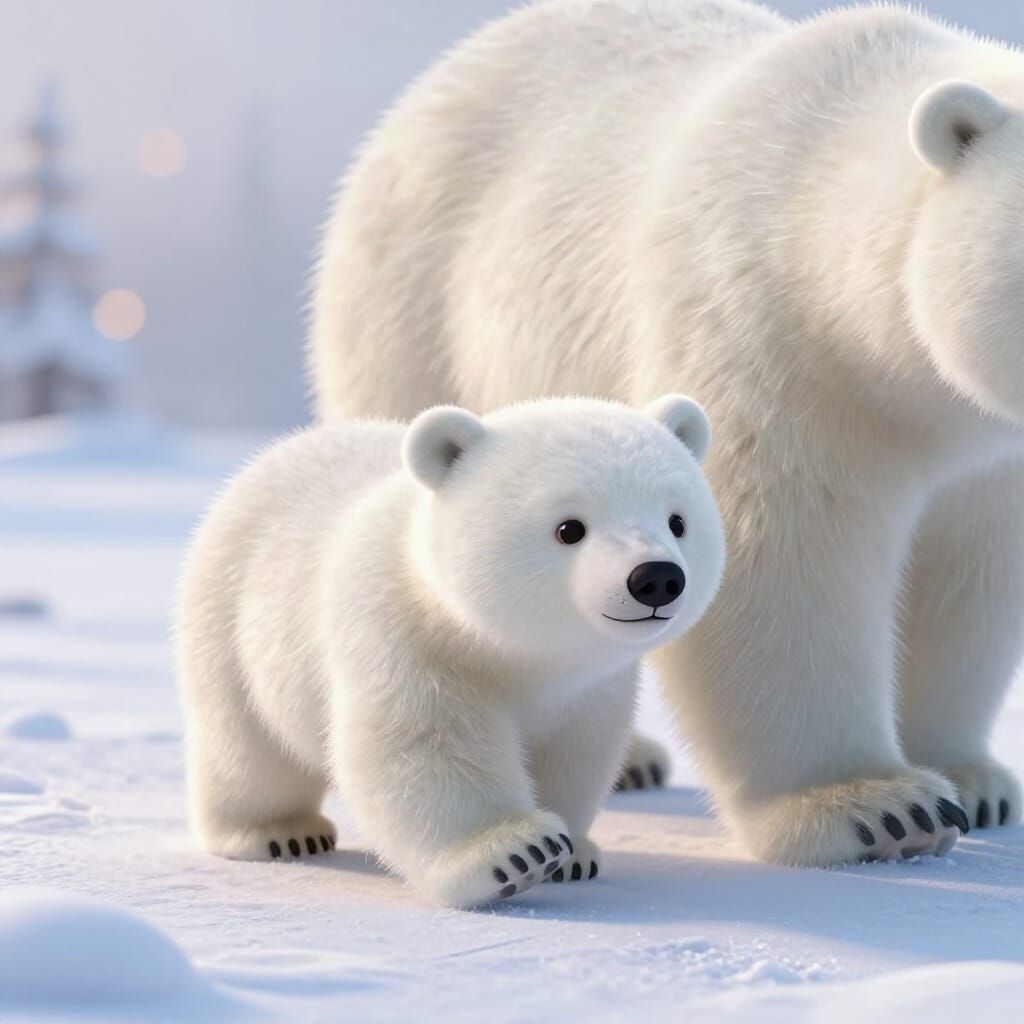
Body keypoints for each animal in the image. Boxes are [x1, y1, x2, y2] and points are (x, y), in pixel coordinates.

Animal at [176, 395, 725, 907]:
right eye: (570, 528)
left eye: (677, 521)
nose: (656, 578)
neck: (511, 651)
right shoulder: (406, 635)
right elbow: (424, 743)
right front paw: (518, 853)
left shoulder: (590, 685)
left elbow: (575, 750)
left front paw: (576, 855)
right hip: (227, 618)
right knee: (249, 750)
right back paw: (278, 832)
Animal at [308, 0, 1023, 867]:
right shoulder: (767, 343)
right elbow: (779, 560)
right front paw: (873, 805)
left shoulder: (988, 453)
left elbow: (970, 580)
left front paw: (973, 780)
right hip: (418, 313)